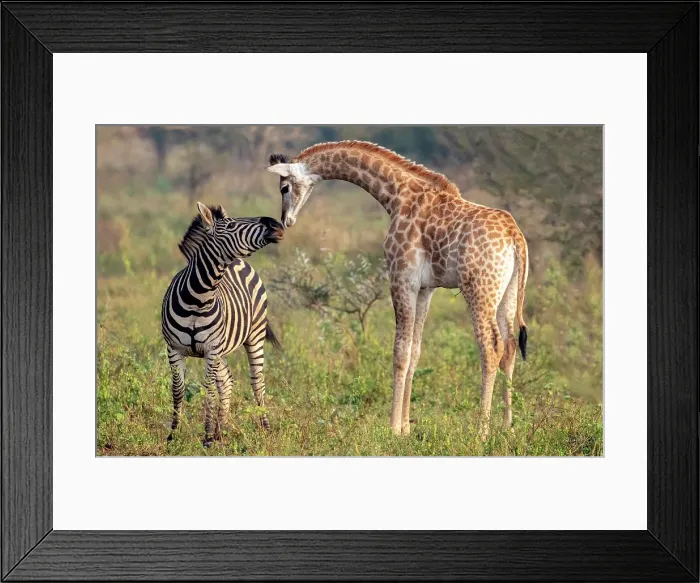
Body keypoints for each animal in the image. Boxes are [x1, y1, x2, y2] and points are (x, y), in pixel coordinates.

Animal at [161, 202, 285, 447]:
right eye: (229, 225)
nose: (276, 224)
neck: (198, 298)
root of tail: (238, 261)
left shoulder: (211, 349)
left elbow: (208, 390)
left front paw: (207, 437)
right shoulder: (174, 348)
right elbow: (178, 390)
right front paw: (174, 435)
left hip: (254, 336)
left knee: (257, 382)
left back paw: (263, 428)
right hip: (222, 349)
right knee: (226, 382)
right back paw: (221, 431)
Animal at [266, 140, 529, 440]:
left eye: (284, 188)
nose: (286, 221)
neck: (396, 195)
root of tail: (515, 237)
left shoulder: (401, 278)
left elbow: (400, 352)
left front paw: (392, 428)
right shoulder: (425, 289)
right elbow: (415, 351)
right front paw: (405, 427)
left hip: (479, 289)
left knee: (492, 346)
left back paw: (481, 431)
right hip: (508, 293)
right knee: (510, 346)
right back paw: (507, 426)